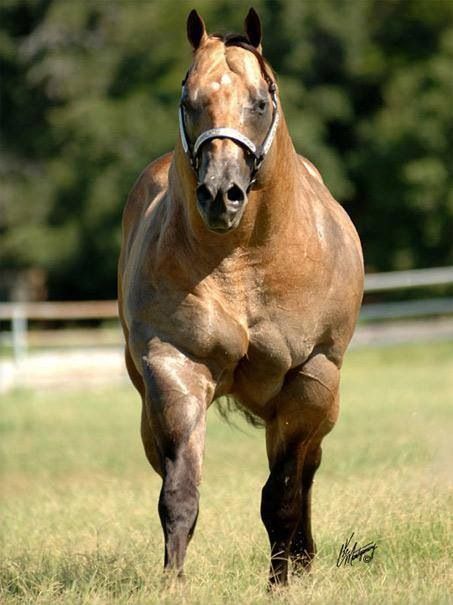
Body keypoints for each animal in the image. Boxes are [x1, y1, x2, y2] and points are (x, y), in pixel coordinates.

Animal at [117, 8, 364, 584]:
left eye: (260, 101)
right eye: (189, 101)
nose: (219, 195)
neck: (244, 262)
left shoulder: (310, 378)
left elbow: (284, 495)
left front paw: (282, 581)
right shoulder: (175, 369)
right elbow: (179, 494)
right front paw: (173, 584)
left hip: (320, 403)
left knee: (306, 472)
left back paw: (302, 559)